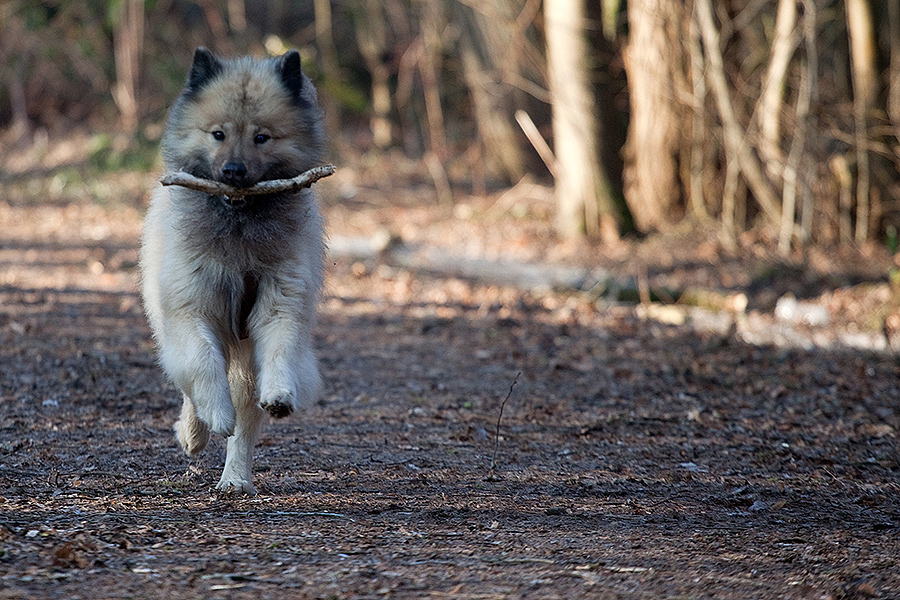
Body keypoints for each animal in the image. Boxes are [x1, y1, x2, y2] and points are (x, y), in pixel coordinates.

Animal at [139, 47, 326, 494]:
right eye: (218, 134)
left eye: (262, 137)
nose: (234, 172)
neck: (239, 227)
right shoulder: (191, 309)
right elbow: (202, 365)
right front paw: (213, 416)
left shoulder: (280, 302)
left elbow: (278, 351)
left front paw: (279, 395)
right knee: (189, 384)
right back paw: (195, 432)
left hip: (243, 359)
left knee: (244, 422)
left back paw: (235, 478)